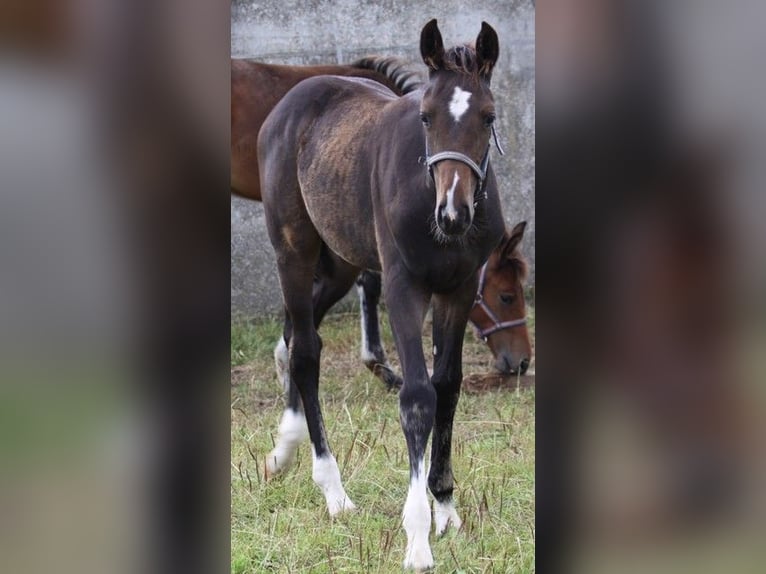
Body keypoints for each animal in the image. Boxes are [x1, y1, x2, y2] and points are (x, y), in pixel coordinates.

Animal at [258, 21, 510, 572]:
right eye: (425, 116)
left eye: (488, 116)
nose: (452, 215)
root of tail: (294, 96)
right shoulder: (402, 288)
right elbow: (417, 395)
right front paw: (417, 538)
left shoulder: (458, 289)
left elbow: (448, 385)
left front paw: (446, 509)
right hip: (293, 248)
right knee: (306, 351)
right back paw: (333, 491)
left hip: (341, 258)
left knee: (294, 333)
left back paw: (284, 449)